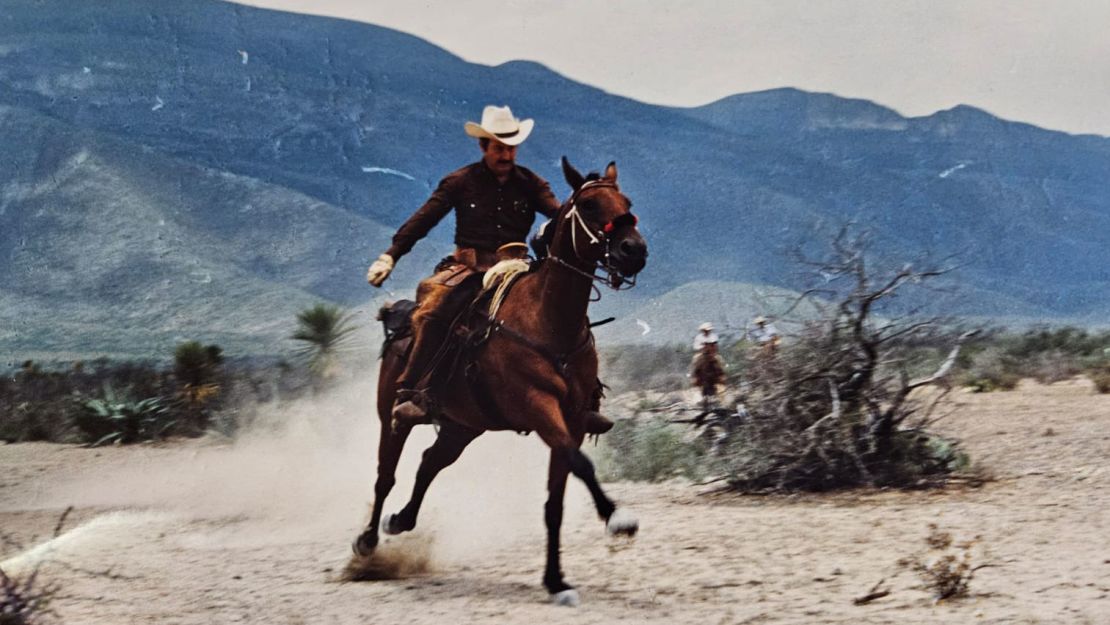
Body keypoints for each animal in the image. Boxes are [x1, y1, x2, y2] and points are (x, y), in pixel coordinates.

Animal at [355, 156, 648, 608]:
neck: (549, 322)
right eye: (590, 204)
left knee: (429, 463)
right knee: (386, 474)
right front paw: (617, 518)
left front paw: (556, 581)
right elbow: (581, 463)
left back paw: (401, 520)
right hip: (393, 415)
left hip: (463, 426)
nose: (634, 250)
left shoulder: (574, 419)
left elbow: (555, 502)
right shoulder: (538, 406)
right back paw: (367, 543)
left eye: (627, 202)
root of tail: (399, 315)